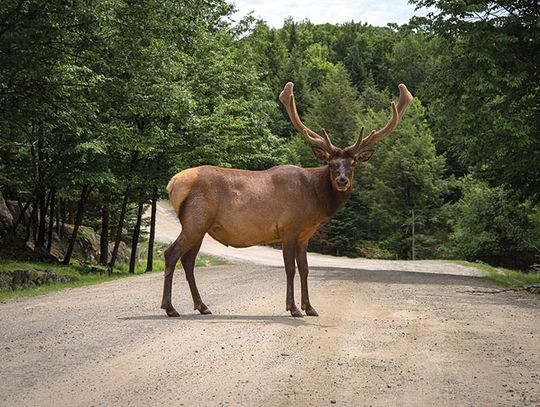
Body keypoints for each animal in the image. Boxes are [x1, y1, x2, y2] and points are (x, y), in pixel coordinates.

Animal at [161, 82, 414, 318]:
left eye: (353, 164)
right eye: (331, 163)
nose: (342, 180)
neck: (316, 201)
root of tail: (172, 183)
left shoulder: (305, 235)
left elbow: (305, 268)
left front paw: (310, 307)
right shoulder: (288, 228)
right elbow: (290, 268)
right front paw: (293, 308)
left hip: (201, 226)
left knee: (188, 260)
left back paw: (202, 306)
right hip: (195, 220)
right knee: (172, 254)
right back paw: (170, 307)